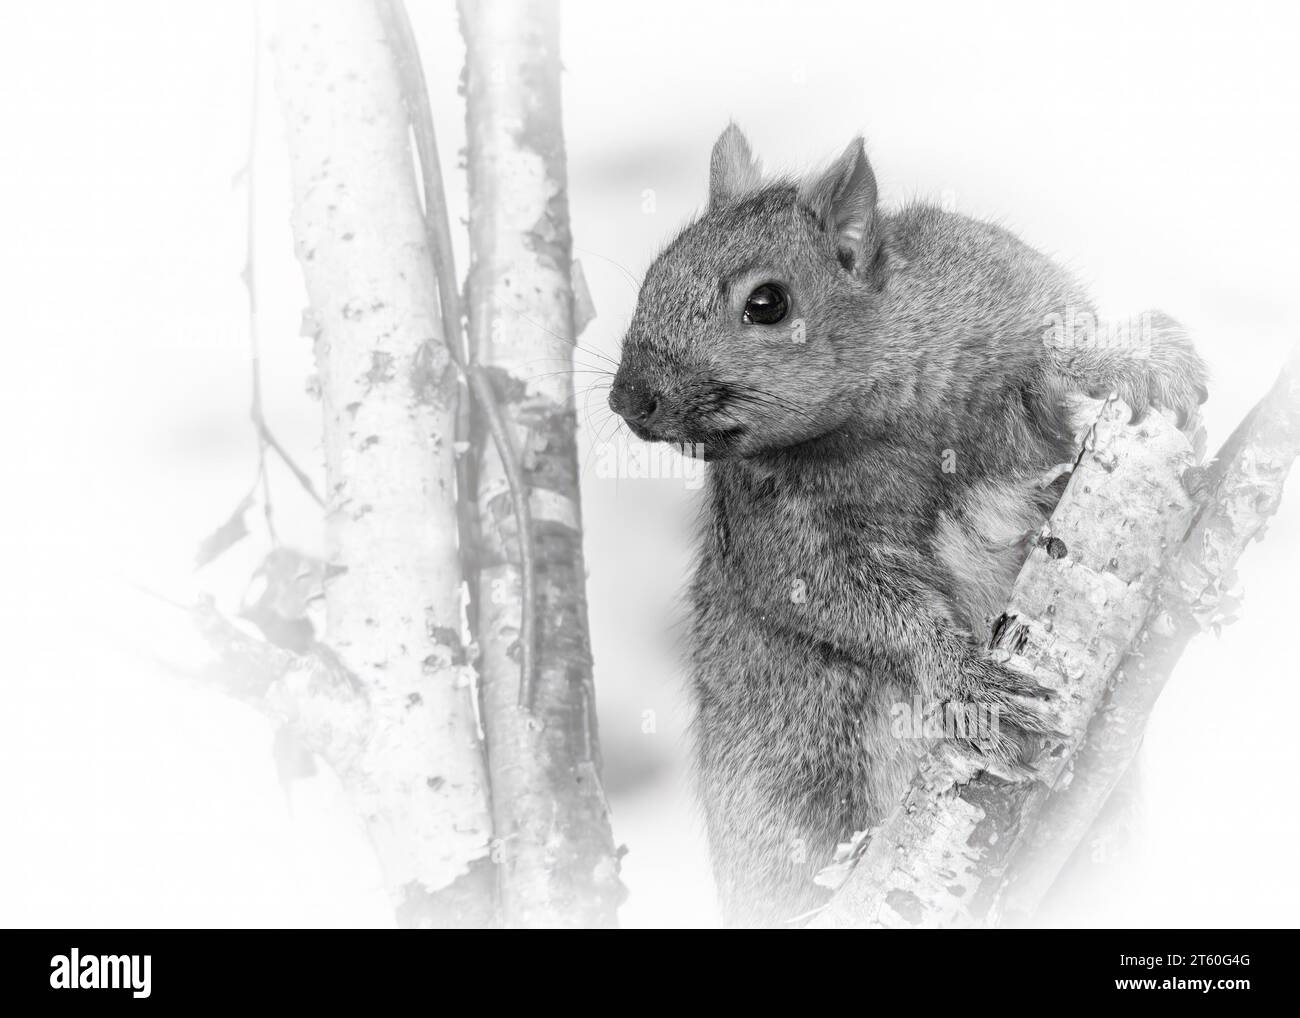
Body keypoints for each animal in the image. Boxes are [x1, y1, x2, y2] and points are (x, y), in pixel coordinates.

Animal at [608, 123, 1206, 925]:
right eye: (652, 277)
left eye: (766, 303)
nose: (625, 398)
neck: (885, 405)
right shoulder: (786, 532)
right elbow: (863, 610)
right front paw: (969, 686)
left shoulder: (1009, 293)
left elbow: (1063, 341)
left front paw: (1138, 359)